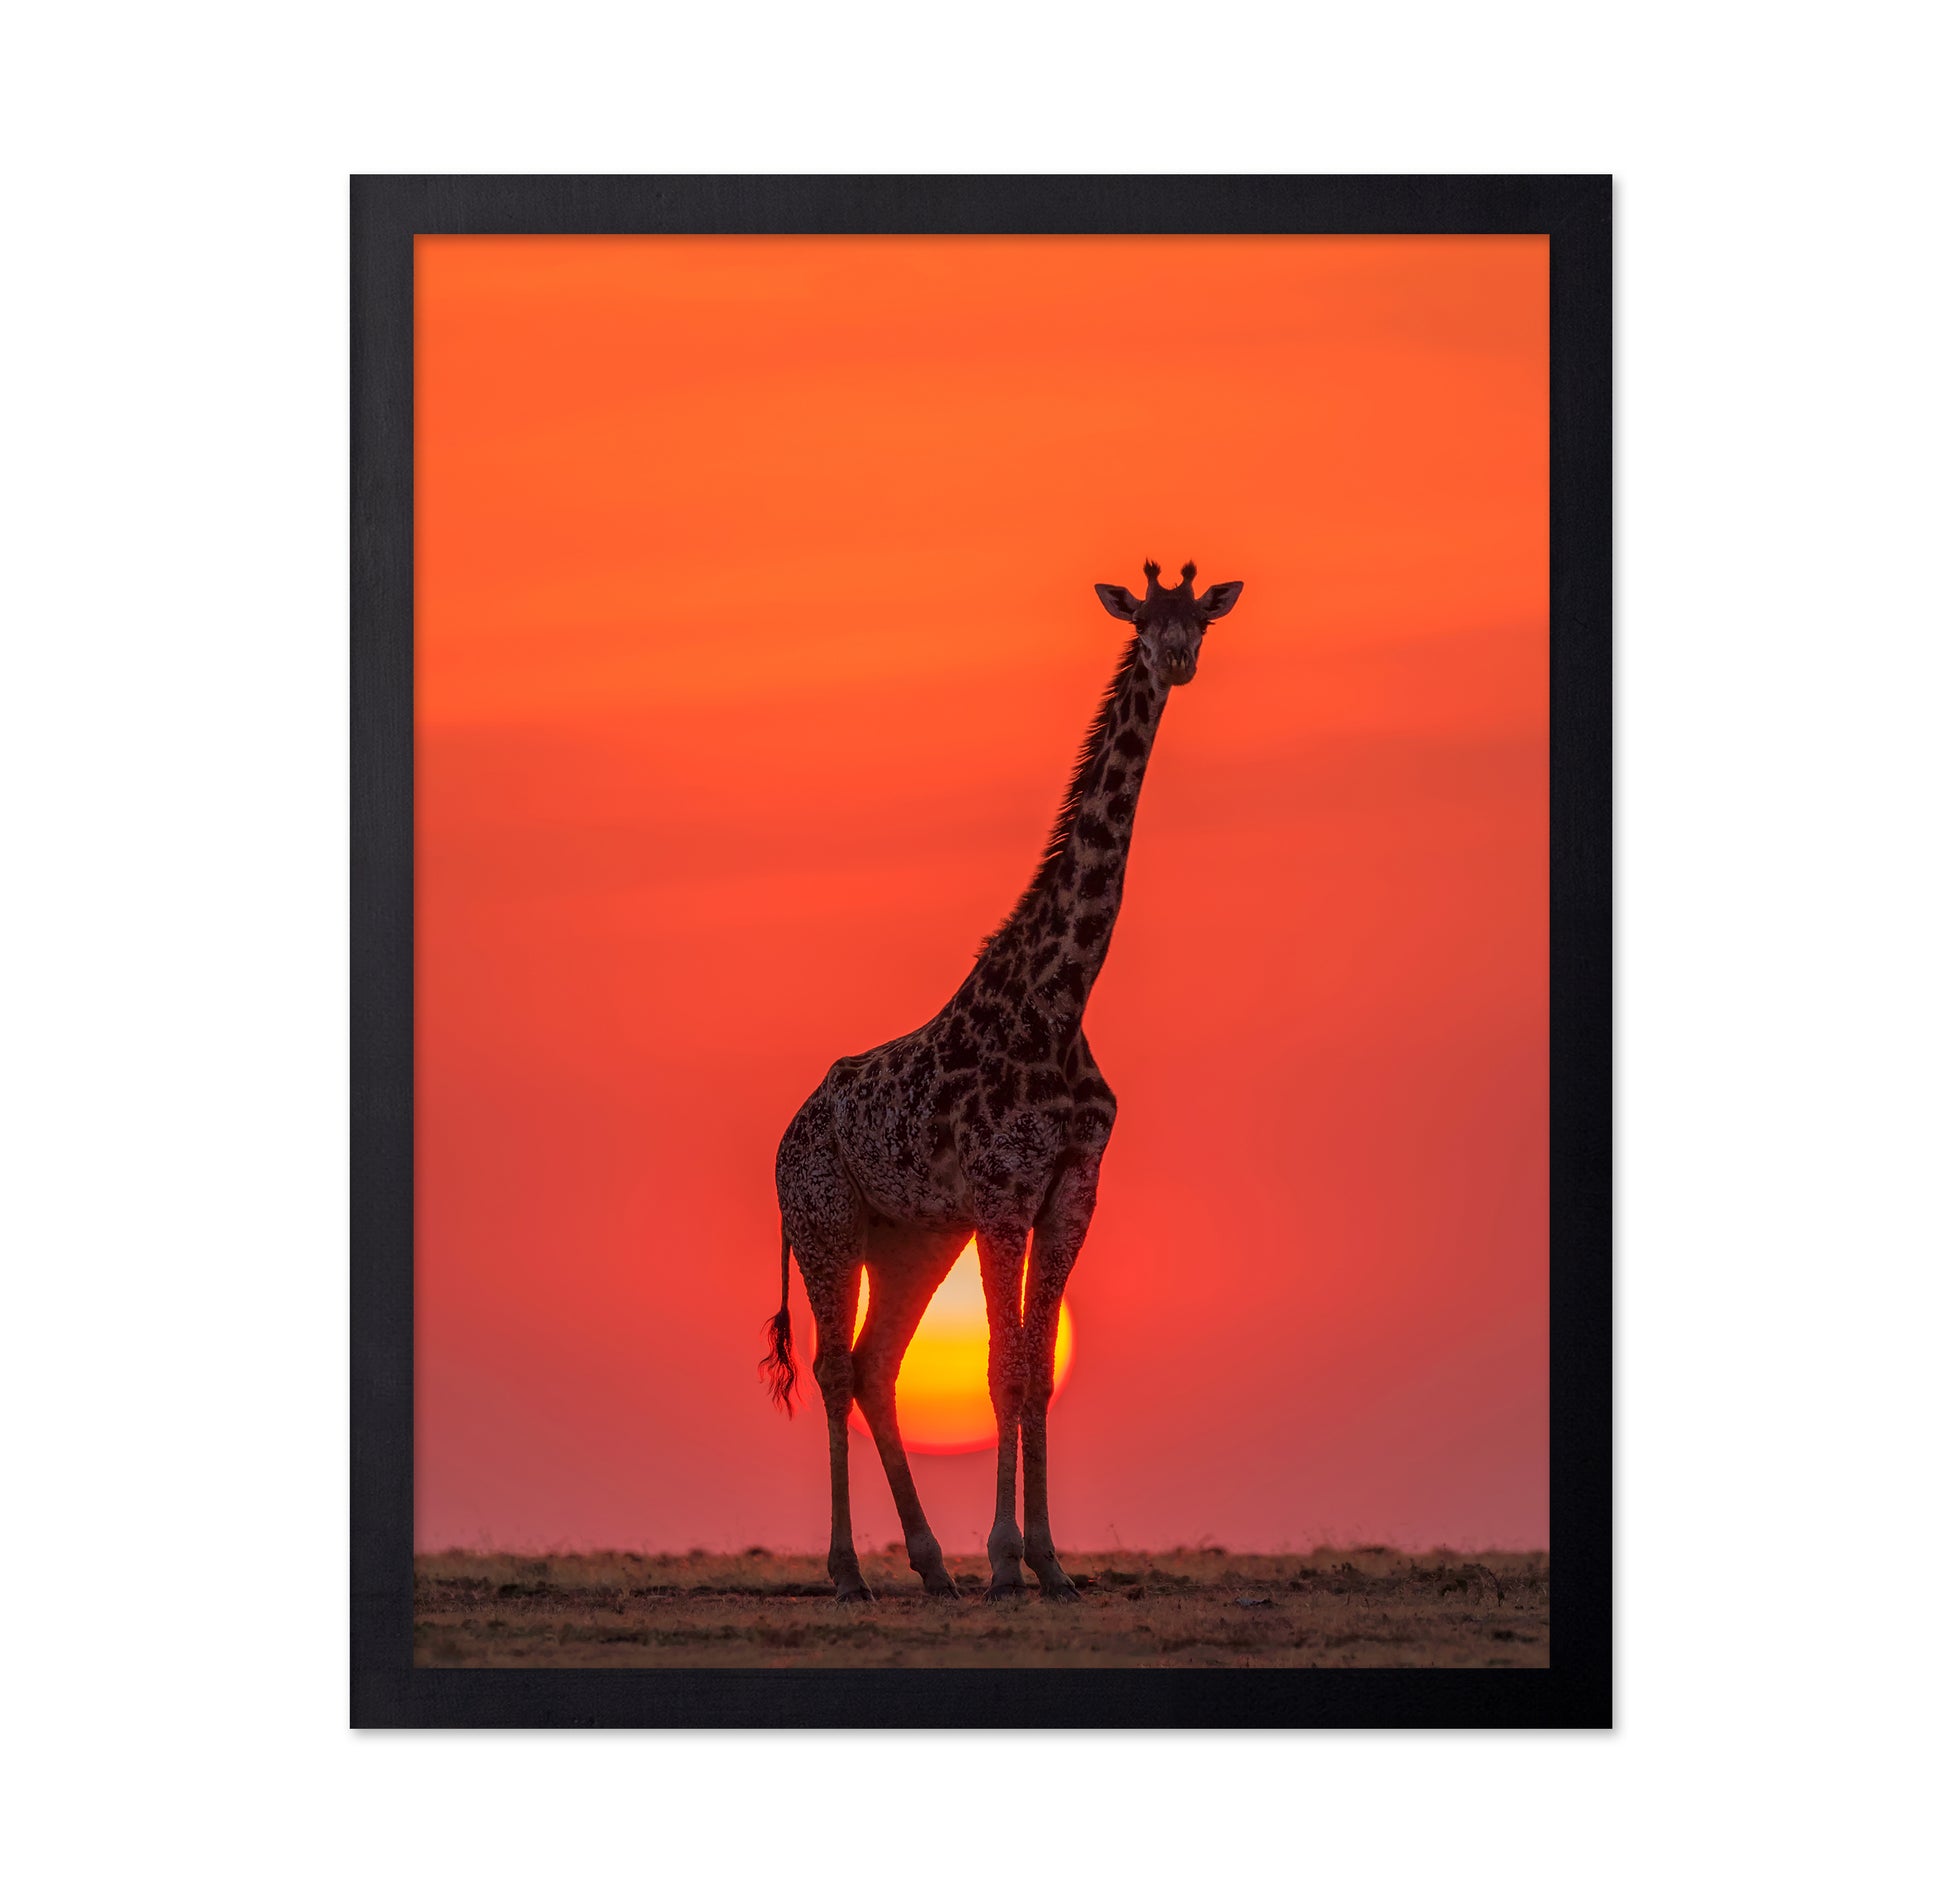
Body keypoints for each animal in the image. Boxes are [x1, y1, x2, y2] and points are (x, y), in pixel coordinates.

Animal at [764, 559, 1244, 1601]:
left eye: (1199, 620)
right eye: (1144, 620)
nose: (1177, 659)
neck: (1060, 998)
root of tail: (785, 1138)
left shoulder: (1072, 1189)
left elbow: (1035, 1368)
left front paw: (1050, 1563)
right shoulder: (1002, 1191)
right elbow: (1000, 1368)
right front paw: (1005, 1559)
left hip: (911, 1236)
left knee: (876, 1364)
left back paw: (930, 1565)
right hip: (825, 1220)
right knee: (833, 1366)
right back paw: (851, 1572)